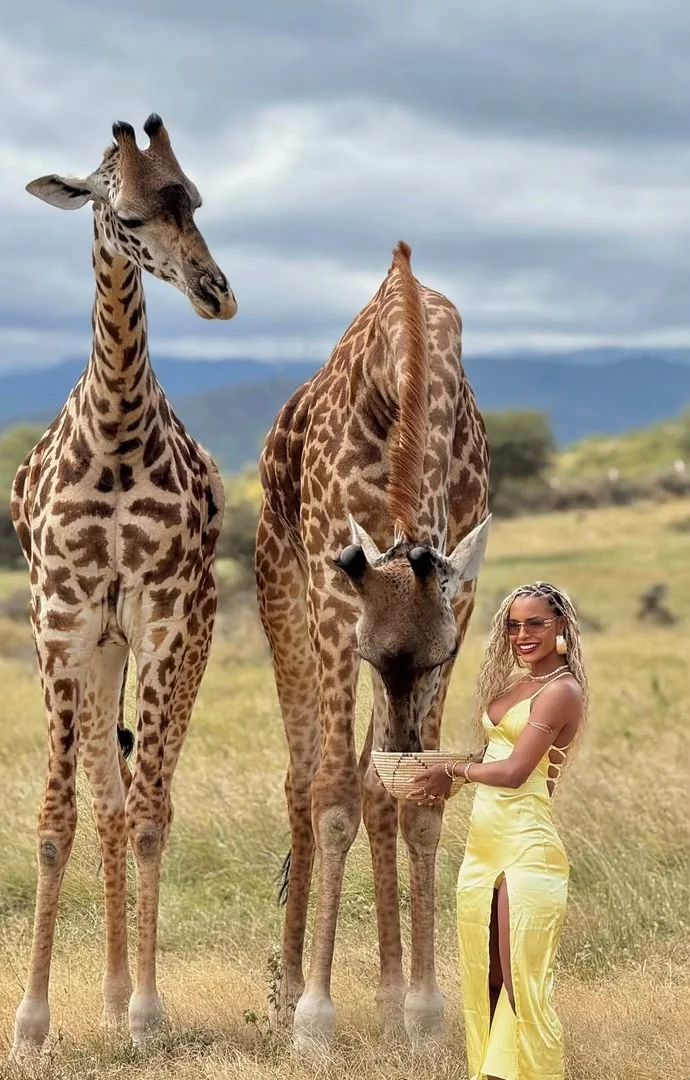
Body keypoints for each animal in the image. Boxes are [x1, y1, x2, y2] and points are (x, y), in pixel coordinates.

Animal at [255, 241, 490, 1054]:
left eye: (442, 655)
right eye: (364, 654)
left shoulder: (462, 599)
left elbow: (414, 797)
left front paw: (424, 1009)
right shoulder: (334, 601)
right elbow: (332, 796)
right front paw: (314, 1020)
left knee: (371, 787)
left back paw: (389, 999)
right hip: (280, 593)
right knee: (304, 779)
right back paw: (288, 990)